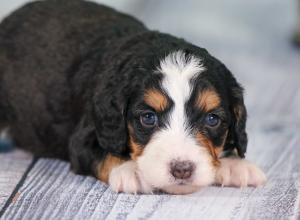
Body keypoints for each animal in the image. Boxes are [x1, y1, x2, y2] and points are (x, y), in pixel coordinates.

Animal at [0, 0, 268, 194]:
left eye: (212, 119)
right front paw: (134, 171)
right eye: (148, 118)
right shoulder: (82, 138)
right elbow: (104, 154)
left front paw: (235, 165)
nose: (182, 170)